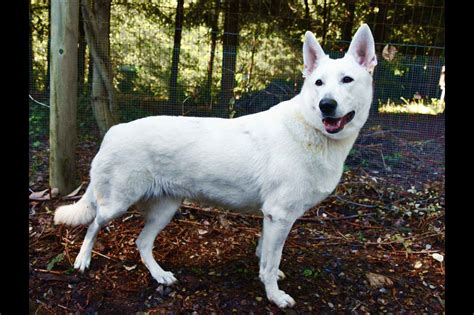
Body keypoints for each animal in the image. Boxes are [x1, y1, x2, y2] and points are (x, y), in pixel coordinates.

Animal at [52, 24, 378, 308]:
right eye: (318, 83)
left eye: (347, 80)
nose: (326, 105)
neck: (312, 128)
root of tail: (113, 131)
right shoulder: (280, 216)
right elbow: (270, 263)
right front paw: (274, 295)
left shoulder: (272, 217)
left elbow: (265, 255)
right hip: (117, 204)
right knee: (94, 224)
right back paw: (83, 260)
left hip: (165, 209)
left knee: (141, 242)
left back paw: (159, 275)